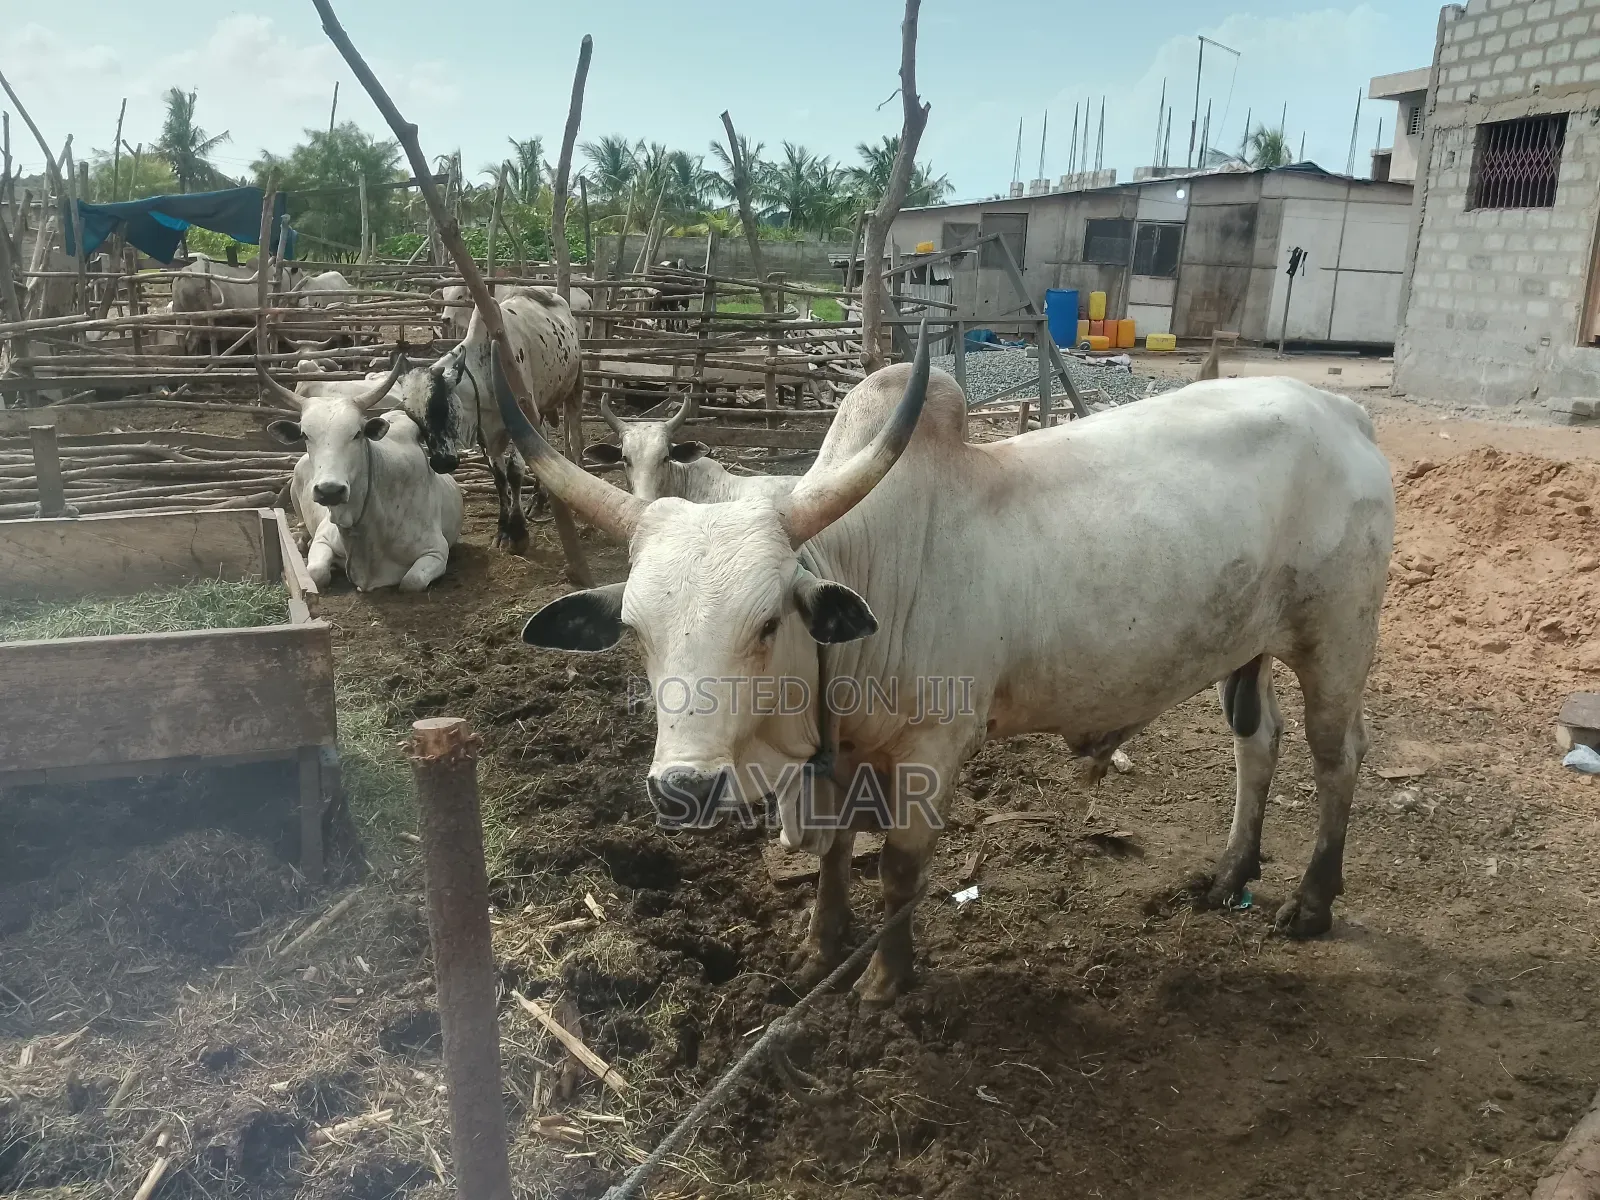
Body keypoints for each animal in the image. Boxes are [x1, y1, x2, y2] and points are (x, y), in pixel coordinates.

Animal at [256, 359, 463, 593]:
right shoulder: (323, 537)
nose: (330, 491)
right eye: (305, 435)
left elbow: (411, 581)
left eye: (357, 433)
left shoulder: (436, 551)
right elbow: (316, 573)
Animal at [393, 287, 582, 551]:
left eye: (441, 407)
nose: (441, 463)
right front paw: (503, 529)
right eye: (414, 417)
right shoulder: (489, 434)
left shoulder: (517, 420)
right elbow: (500, 478)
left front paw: (518, 531)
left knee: (573, 435)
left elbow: (514, 472)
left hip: (573, 388)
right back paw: (538, 498)